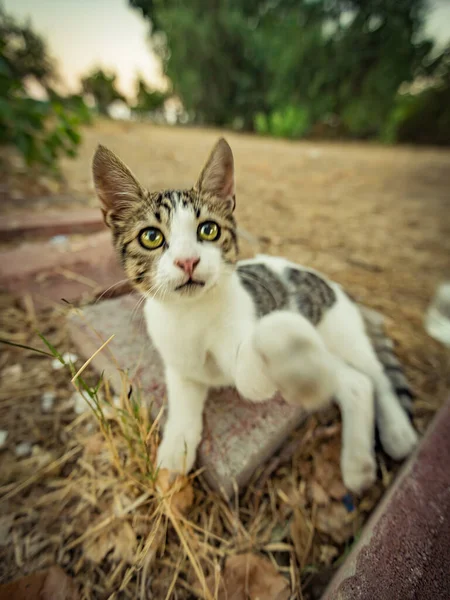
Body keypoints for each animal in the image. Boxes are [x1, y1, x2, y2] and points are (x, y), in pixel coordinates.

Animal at [92, 138, 418, 494]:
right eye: (151, 237)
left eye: (209, 230)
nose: (188, 261)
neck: (191, 316)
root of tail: (332, 283)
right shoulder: (179, 364)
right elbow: (181, 401)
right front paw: (175, 450)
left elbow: (252, 377)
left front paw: (279, 332)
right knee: (356, 383)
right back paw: (358, 464)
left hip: (342, 333)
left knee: (375, 376)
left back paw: (396, 431)